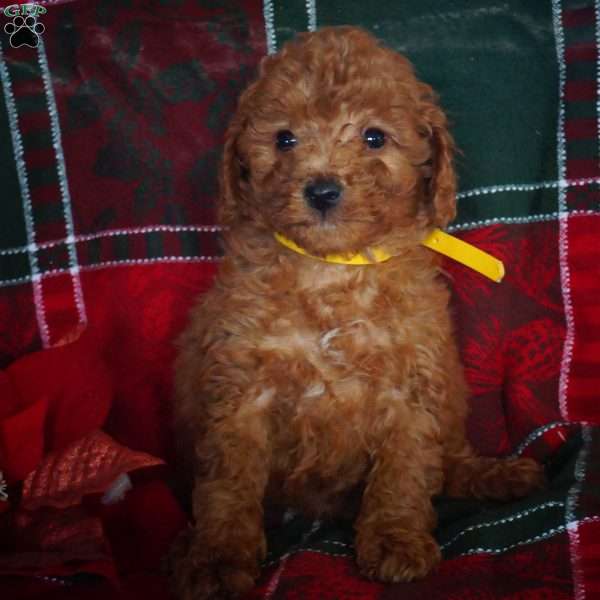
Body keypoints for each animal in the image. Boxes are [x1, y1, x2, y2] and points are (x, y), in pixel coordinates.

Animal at [171, 27, 548, 600]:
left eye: (374, 138)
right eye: (284, 139)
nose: (323, 190)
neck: (332, 271)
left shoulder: (412, 387)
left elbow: (403, 473)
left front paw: (395, 541)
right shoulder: (240, 393)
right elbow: (227, 485)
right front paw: (217, 560)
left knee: (451, 463)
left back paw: (497, 476)